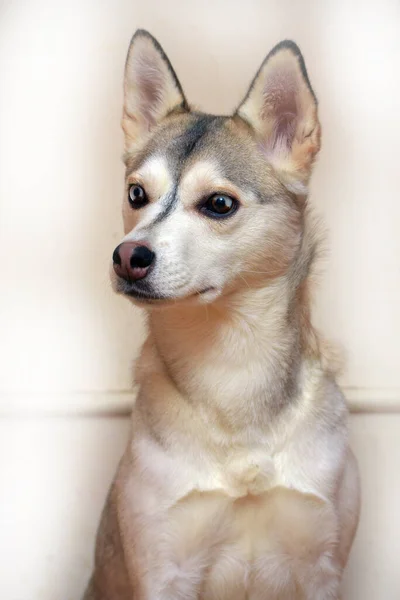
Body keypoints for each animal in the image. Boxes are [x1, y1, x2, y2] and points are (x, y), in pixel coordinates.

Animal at [83, 30, 360, 596]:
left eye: (218, 204)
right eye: (136, 194)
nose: (127, 256)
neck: (233, 366)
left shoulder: (321, 564)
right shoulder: (163, 567)